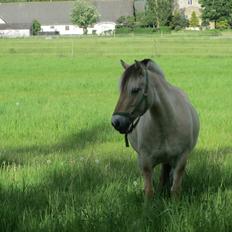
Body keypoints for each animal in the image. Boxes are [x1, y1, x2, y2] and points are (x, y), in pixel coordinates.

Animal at [111, 58, 199, 198]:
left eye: (135, 90)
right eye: (121, 90)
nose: (116, 122)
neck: (166, 124)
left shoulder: (181, 159)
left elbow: (175, 190)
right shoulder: (145, 161)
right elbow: (149, 191)